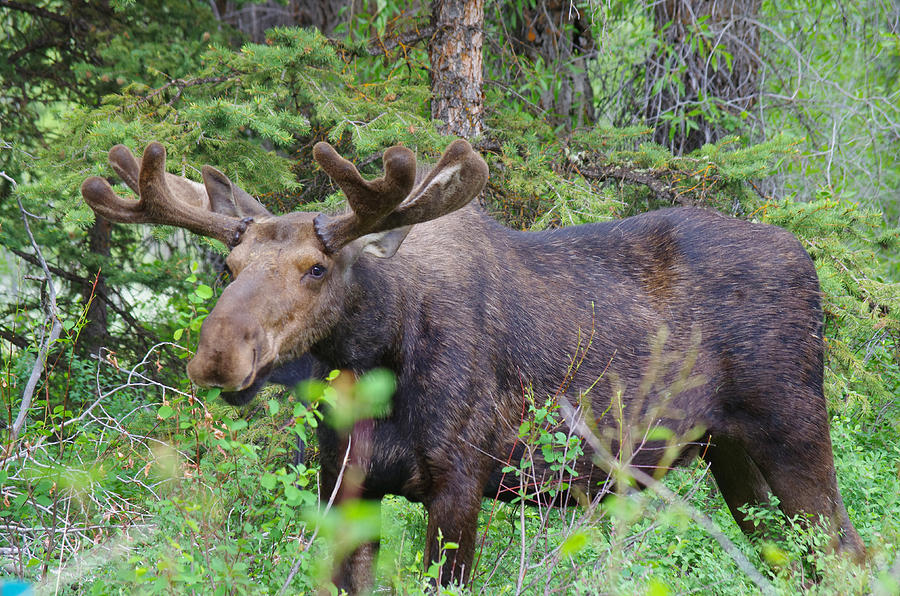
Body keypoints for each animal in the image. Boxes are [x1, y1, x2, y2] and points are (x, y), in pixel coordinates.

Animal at [81, 139, 860, 592]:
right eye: (229, 265)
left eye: (316, 268)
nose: (217, 357)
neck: (376, 367)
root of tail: (810, 263)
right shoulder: (345, 488)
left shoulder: (460, 481)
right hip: (730, 453)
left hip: (794, 429)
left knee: (849, 551)